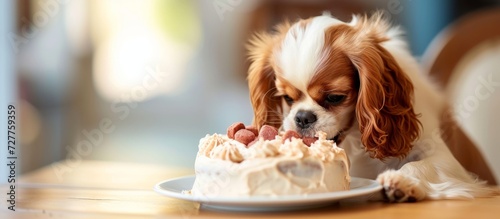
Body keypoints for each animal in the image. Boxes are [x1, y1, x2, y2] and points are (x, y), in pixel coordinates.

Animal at [245, 12, 496, 202]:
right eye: (287, 98)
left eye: (335, 97)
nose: (303, 117)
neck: (354, 136)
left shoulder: (445, 158)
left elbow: (419, 165)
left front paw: (401, 181)